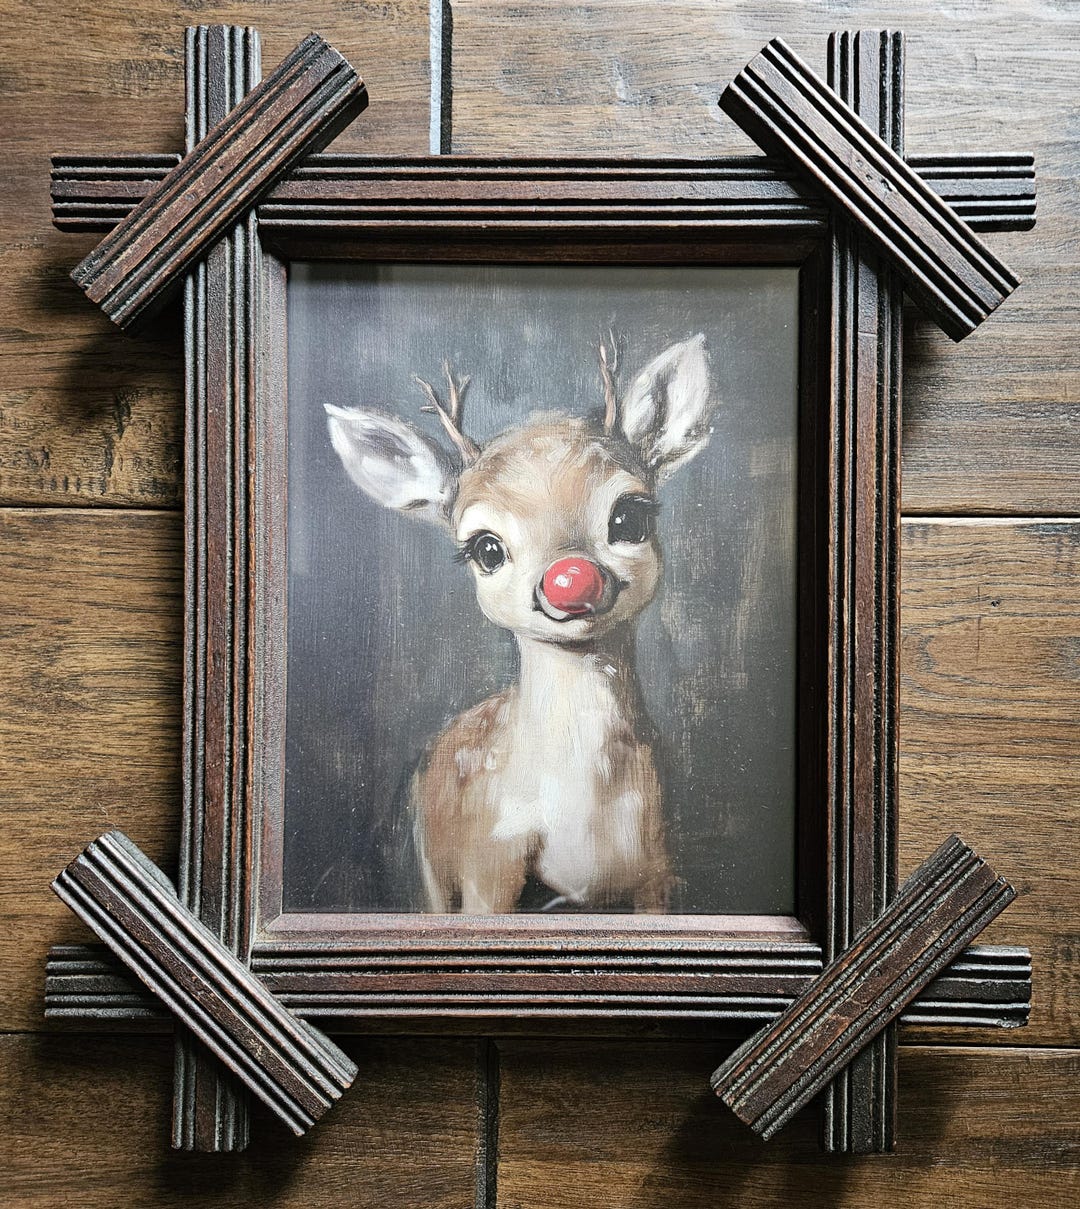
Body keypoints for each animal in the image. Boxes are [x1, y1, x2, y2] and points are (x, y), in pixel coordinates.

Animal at [324, 333, 715, 914]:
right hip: (433, 865)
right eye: (486, 548)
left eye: (630, 516)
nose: (570, 580)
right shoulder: (488, 865)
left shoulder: (658, 871)